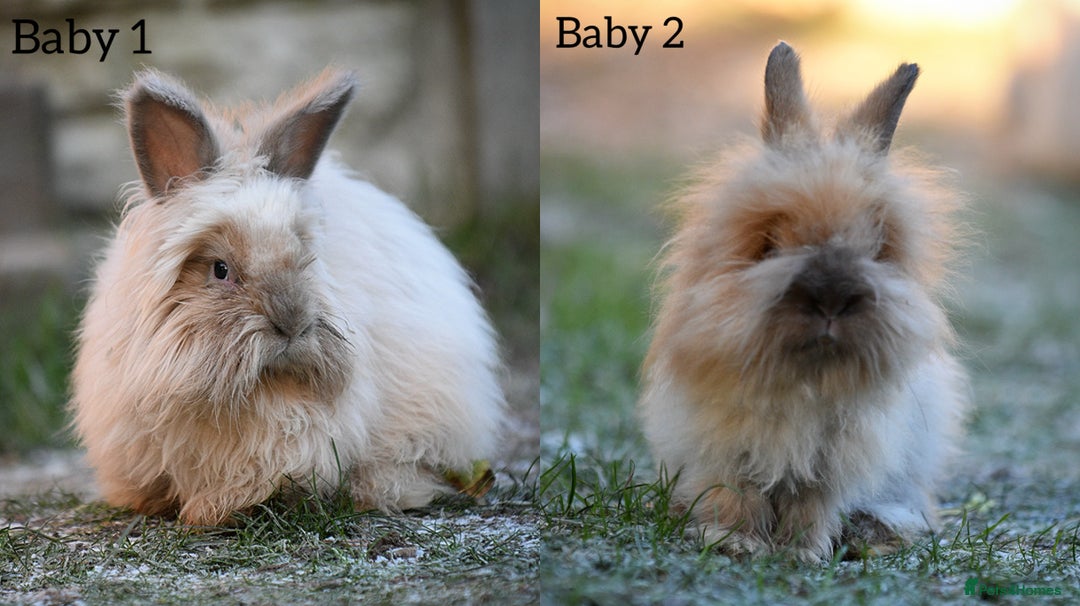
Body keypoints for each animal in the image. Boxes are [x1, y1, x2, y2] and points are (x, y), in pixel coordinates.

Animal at [639, 42, 968, 562]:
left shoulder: (833, 462)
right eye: (769, 243)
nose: (832, 298)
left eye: (877, 247)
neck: (803, 379)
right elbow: (735, 494)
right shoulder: (725, 450)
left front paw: (801, 553)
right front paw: (737, 544)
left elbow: (810, 504)